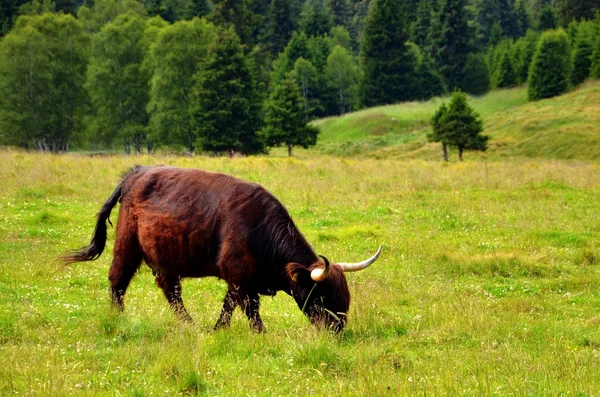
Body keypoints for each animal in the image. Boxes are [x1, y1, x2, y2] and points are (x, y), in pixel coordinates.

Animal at [61, 164, 380, 332]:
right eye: (322, 294)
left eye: (344, 295)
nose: (338, 330)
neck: (260, 228)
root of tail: (136, 173)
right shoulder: (237, 277)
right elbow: (239, 306)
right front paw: (243, 331)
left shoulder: (247, 281)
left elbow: (240, 305)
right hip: (127, 244)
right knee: (118, 279)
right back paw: (118, 318)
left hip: (167, 259)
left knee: (170, 290)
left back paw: (188, 324)